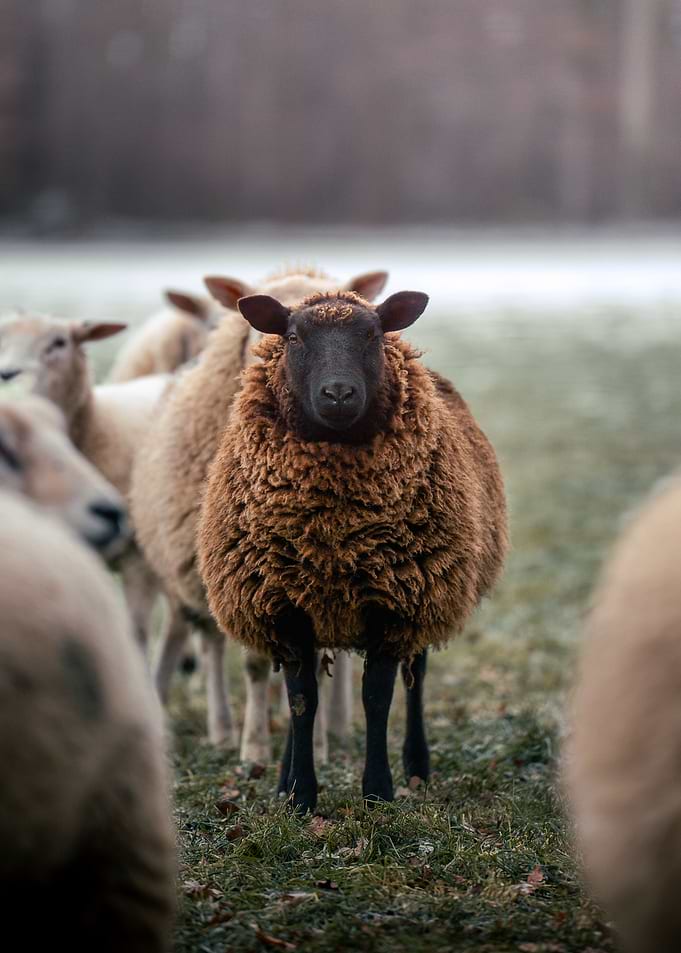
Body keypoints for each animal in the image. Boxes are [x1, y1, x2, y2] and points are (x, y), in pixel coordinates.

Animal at [131, 268, 388, 758]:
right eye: (271, 322)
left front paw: (317, 747)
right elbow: (251, 664)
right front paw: (253, 749)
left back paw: (336, 723)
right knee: (211, 645)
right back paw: (222, 728)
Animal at [197, 288, 508, 811]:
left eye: (373, 334)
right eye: (293, 336)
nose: (339, 394)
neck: (335, 528)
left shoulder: (395, 603)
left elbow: (377, 699)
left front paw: (378, 792)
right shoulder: (285, 604)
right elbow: (302, 700)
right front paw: (299, 796)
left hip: (428, 592)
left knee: (417, 676)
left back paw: (417, 767)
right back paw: (283, 778)